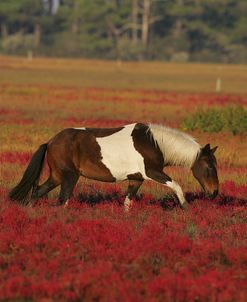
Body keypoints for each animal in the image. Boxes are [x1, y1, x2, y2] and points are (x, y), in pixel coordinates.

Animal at [8, 122, 219, 210]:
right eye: (209, 167)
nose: (214, 193)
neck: (154, 143)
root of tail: (50, 142)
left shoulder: (136, 179)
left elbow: (127, 202)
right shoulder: (152, 173)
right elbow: (176, 186)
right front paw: (185, 207)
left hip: (57, 176)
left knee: (37, 191)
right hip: (69, 177)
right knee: (63, 200)